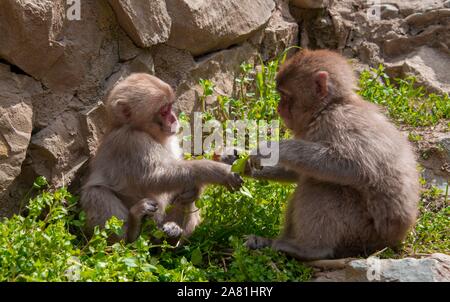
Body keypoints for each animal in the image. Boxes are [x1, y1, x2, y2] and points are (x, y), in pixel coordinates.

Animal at [81, 74, 243, 244]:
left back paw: (174, 234)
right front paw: (219, 172)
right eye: (164, 111)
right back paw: (132, 233)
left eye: (170, 107)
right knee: (95, 193)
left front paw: (225, 157)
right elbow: (154, 177)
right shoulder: (131, 141)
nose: (174, 118)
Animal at [243, 49, 418, 260]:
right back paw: (267, 243)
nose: (279, 108)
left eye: (285, 96)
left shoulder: (338, 122)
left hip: (360, 233)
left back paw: (308, 250)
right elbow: (298, 171)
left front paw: (273, 148)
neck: (329, 107)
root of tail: (393, 240)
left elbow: (352, 166)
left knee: (324, 186)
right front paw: (238, 163)